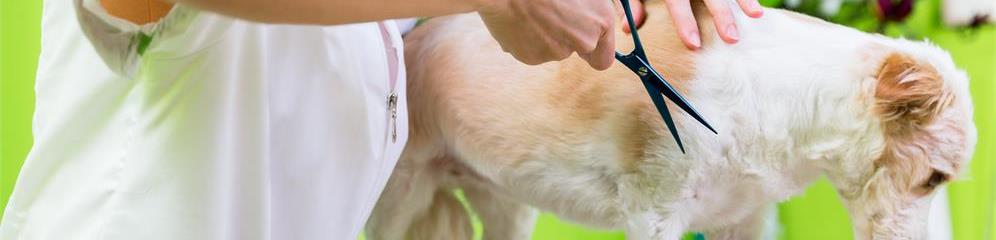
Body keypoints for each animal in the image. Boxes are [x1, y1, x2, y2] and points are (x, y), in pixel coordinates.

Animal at [364, 0, 972, 239]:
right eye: (934, 180)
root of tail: (416, 40)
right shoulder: (654, 212)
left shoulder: (743, 221)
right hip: (398, 200)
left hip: (505, 207)